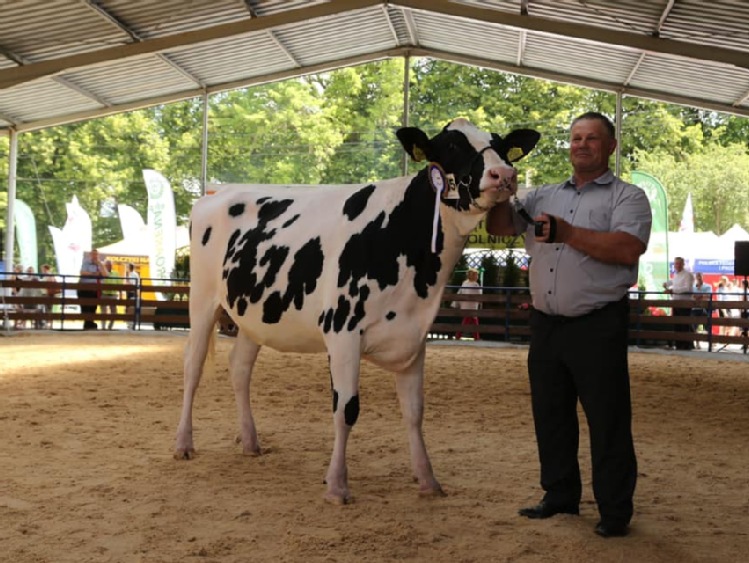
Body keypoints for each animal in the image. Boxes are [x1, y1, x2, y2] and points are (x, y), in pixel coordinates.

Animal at [175, 118, 536, 502]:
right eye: (452, 145)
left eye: (501, 144)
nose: (504, 174)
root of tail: (215, 194)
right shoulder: (342, 331)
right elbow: (346, 410)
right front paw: (337, 485)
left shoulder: (414, 337)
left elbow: (414, 412)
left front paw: (427, 479)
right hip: (203, 300)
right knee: (193, 366)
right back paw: (183, 443)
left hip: (254, 317)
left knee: (240, 369)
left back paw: (251, 442)